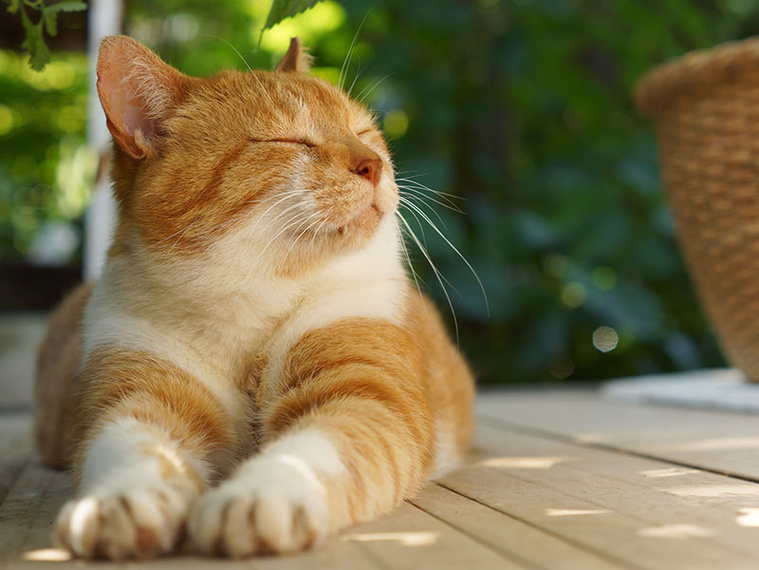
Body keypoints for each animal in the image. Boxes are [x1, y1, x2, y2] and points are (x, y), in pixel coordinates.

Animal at [37, 36, 476, 560]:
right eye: (288, 141)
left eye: (363, 131)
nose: (375, 164)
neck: (253, 315)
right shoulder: (136, 393)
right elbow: (129, 447)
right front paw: (117, 502)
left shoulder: (367, 394)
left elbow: (310, 451)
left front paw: (258, 497)